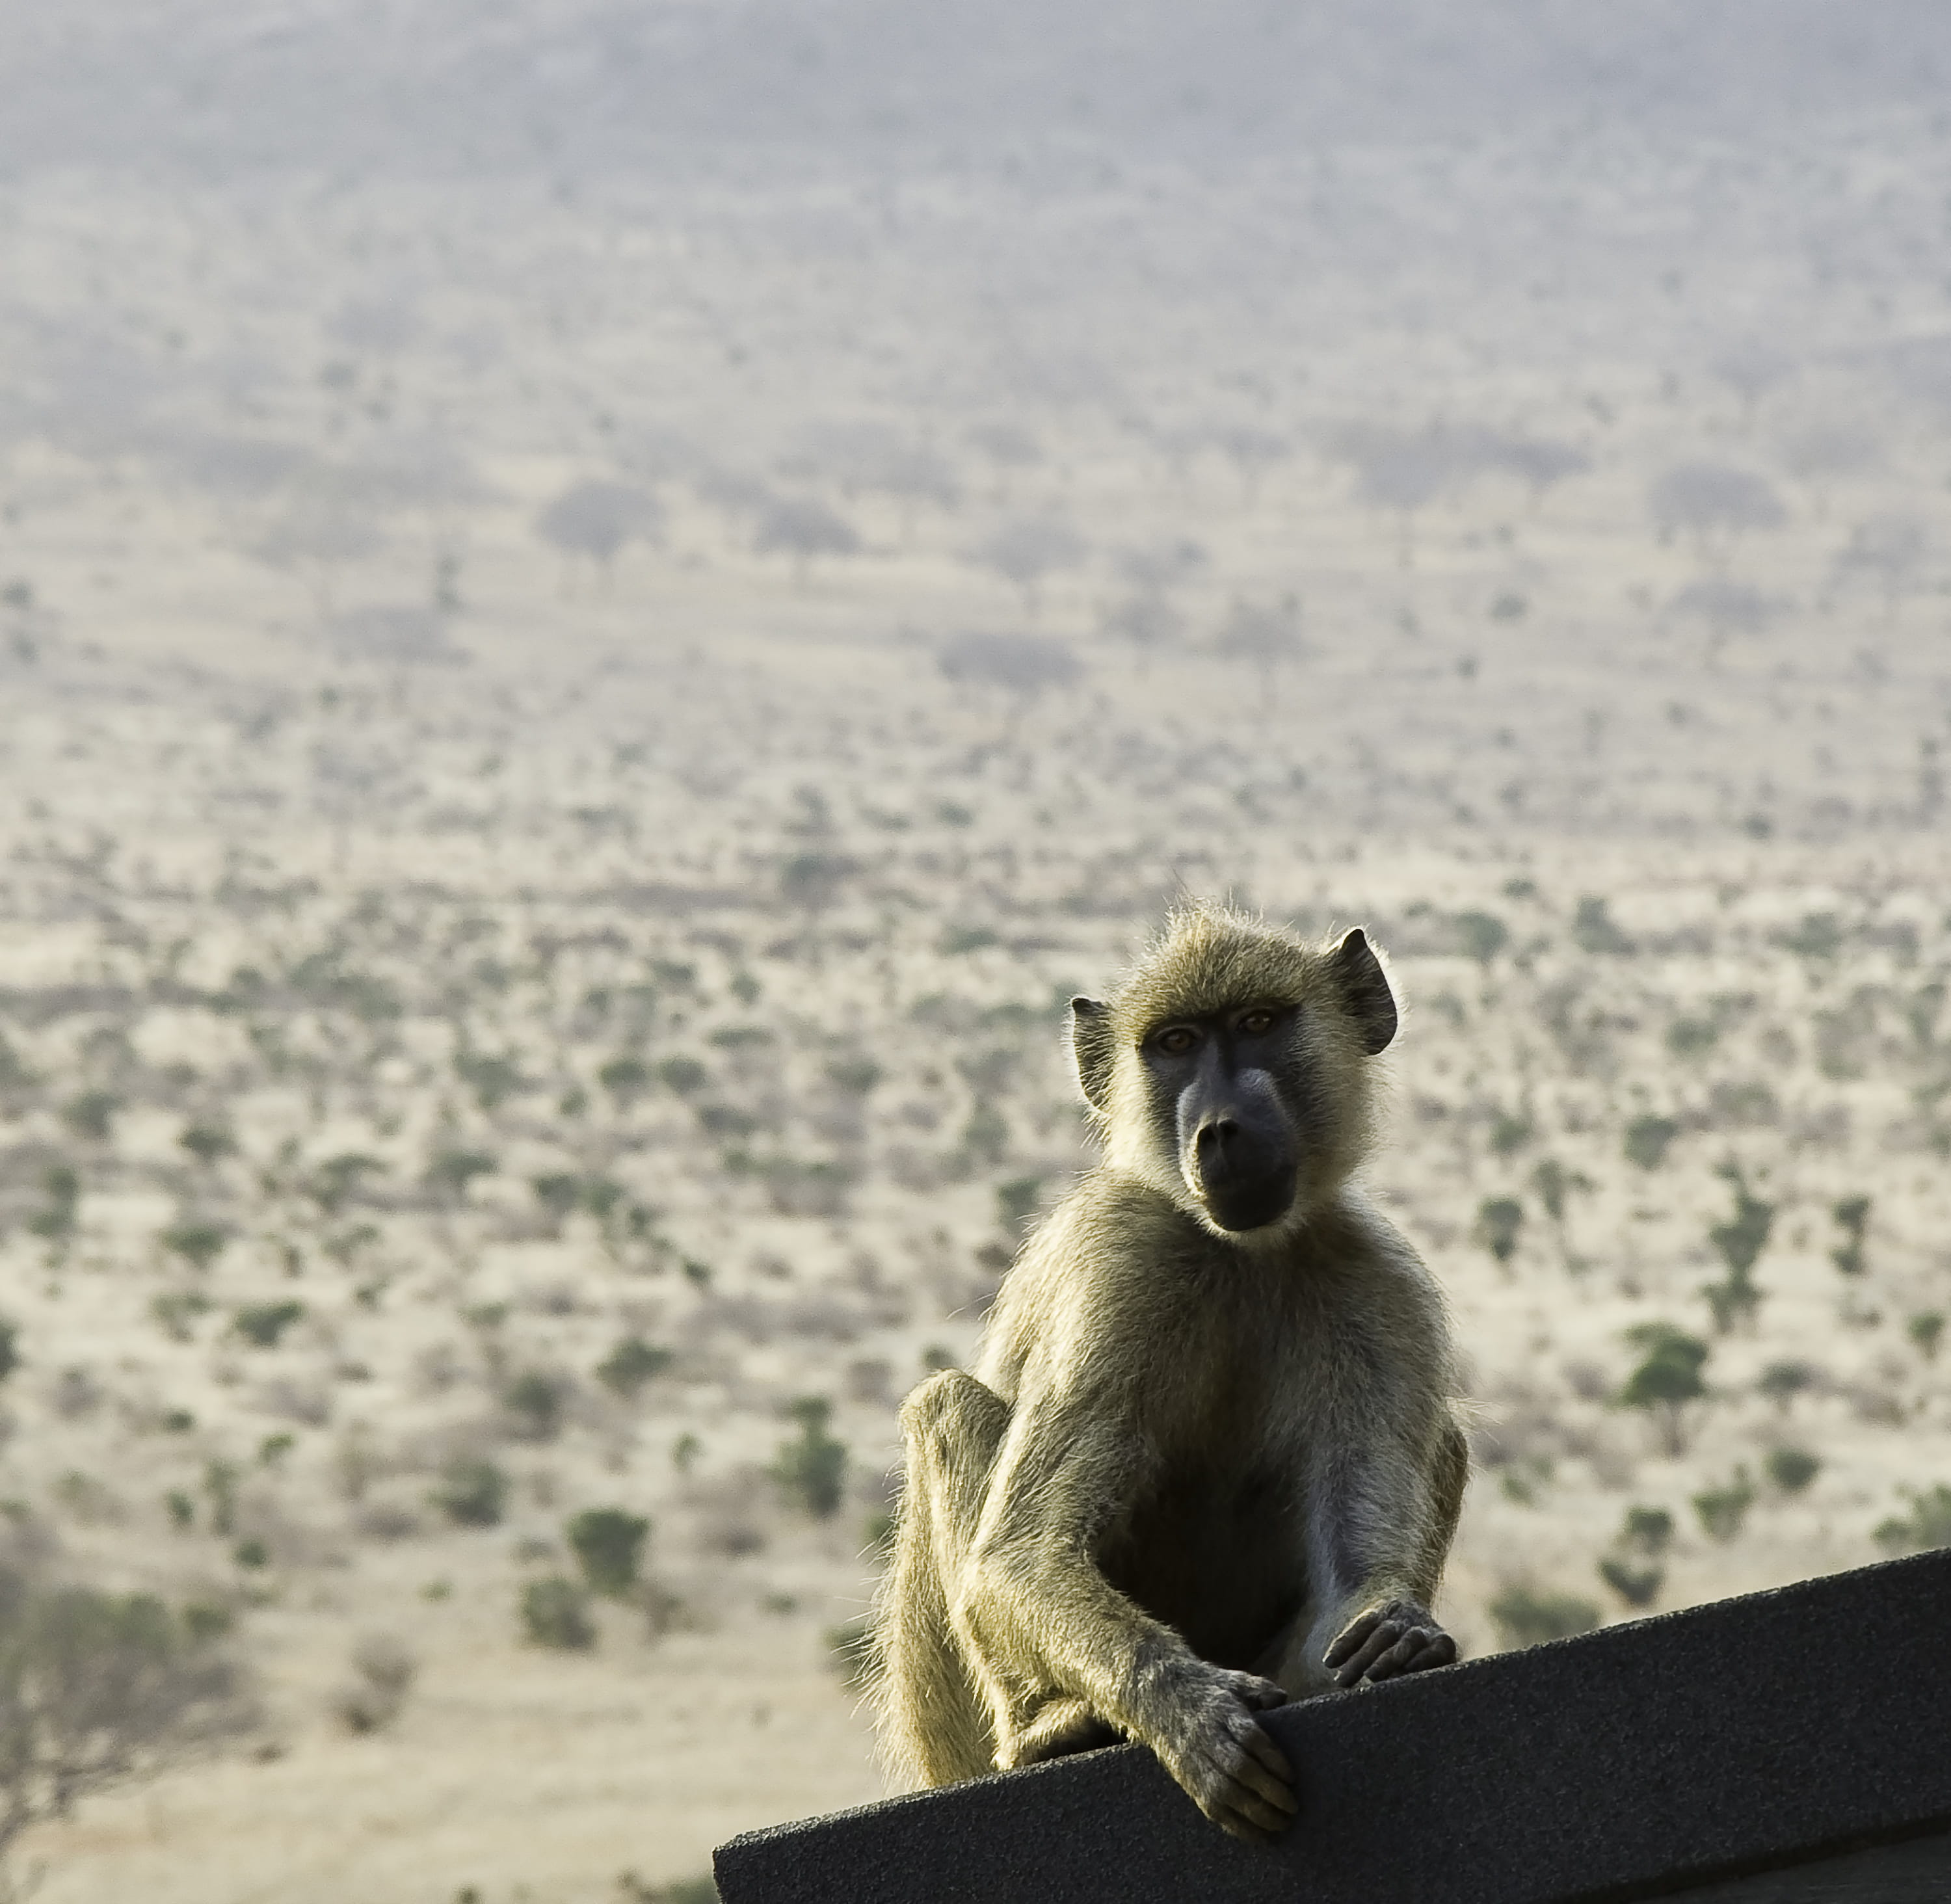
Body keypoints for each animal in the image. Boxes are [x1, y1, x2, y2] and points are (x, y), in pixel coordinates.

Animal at [867, 904, 1469, 1843]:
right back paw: (1048, 1729)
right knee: (948, 1407)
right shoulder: (1123, 1265)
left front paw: (1394, 1629)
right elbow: (1019, 1558)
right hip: (951, 1735)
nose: (1220, 1128)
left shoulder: (1376, 1282)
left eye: (1258, 1023)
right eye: (1176, 1044)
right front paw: (1185, 1712)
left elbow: (1352, 1575)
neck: (1243, 1253)